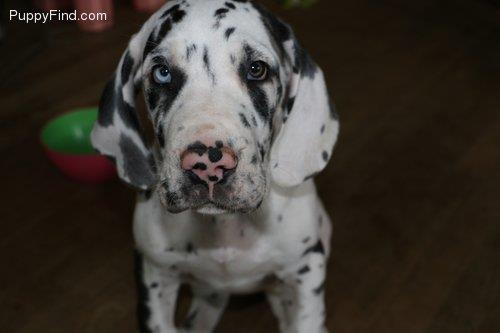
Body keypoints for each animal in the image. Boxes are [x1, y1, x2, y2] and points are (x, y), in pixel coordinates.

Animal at [90, 0, 340, 332]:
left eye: (256, 69)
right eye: (162, 73)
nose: (207, 163)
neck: (224, 229)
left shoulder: (305, 268)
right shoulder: (154, 273)